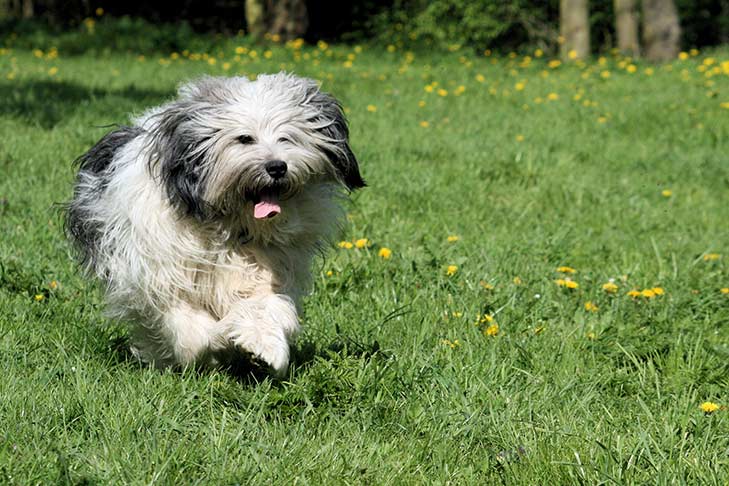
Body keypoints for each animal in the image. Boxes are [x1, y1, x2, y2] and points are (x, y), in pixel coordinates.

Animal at [65, 74, 364, 374]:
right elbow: (190, 327)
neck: (228, 225)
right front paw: (220, 338)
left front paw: (266, 346)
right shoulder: (162, 276)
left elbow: (263, 305)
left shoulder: (268, 269)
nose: (277, 167)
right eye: (244, 138)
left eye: (287, 137)